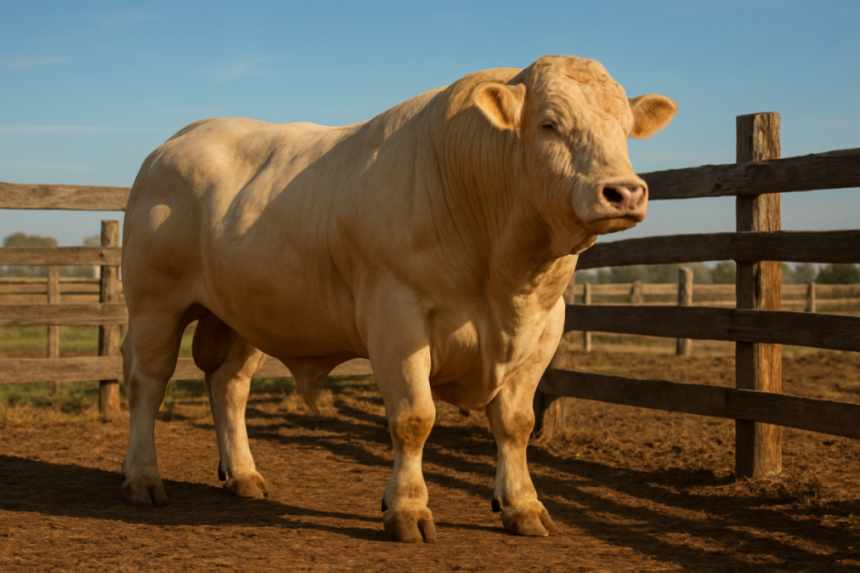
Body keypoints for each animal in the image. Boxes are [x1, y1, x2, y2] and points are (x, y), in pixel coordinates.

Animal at [120, 55, 676, 542]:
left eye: (625, 127)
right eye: (549, 124)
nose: (624, 192)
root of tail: (177, 140)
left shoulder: (545, 325)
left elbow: (517, 424)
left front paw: (522, 506)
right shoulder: (397, 316)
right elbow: (414, 418)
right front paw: (407, 510)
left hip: (245, 311)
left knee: (229, 386)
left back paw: (243, 475)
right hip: (154, 304)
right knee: (148, 384)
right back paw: (143, 477)